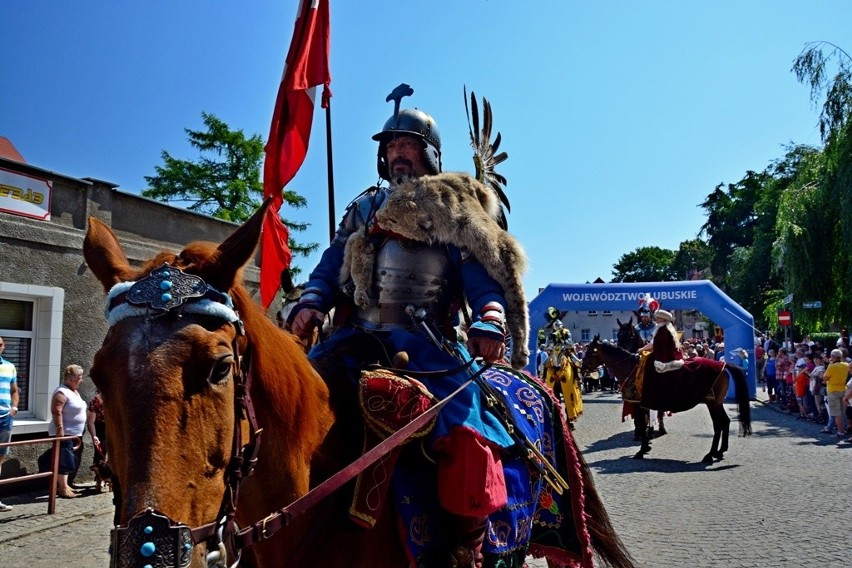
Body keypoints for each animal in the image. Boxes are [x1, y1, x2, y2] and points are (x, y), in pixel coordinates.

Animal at [580, 338, 752, 462]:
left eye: (589, 352)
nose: (582, 370)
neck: (631, 368)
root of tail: (723, 364)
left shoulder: (638, 404)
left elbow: (641, 425)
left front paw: (641, 450)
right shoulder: (643, 405)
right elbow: (643, 425)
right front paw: (645, 447)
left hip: (713, 403)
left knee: (718, 425)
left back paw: (710, 454)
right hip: (716, 403)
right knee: (725, 422)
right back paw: (720, 451)